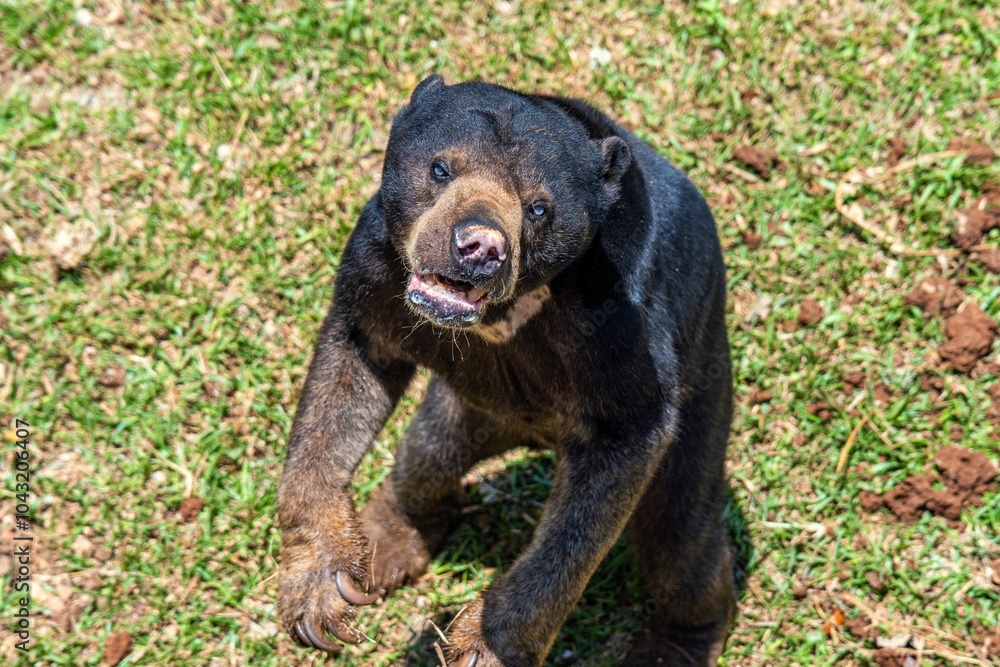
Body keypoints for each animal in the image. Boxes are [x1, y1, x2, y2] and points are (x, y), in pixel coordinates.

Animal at [276, 74, 735, 667]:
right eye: (440, 169)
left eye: (538, 208)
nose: (479, 246)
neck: (507, 310)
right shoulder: (374, 267)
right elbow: (340, 394)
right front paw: (320, 589)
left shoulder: (621, 326)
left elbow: (613, 467)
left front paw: (486, 645)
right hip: (465, 407)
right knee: (427, 454)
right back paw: (384, 543)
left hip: (704, 393)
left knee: (679, 536)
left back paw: (674, 645)